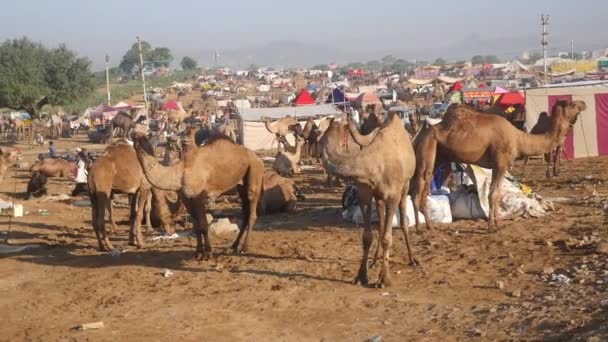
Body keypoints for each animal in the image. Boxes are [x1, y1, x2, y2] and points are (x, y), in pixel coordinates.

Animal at [132, 132, 264, 258]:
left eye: (143, 138)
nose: (135, 134)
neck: (178, 173)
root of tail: (257, 158)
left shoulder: (199, 197)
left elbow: (203, 225)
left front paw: (208, 253)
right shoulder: (187, 199)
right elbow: (196, 227)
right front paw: (198, 253)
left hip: (254, 170)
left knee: (252, 210)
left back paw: (244, 248)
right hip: (241, 184)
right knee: (245, 212)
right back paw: (234, 246)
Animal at [324, 111, 418, 286]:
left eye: (343, 132)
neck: (374, 165)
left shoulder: (393, 196)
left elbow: (388, 237)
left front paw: (384, 279)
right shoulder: (365, 196)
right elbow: (367, 237)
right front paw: (361, 275)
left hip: (405, 185)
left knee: (403, 221)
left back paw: (413, 259)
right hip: (379, 197)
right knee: (380, 225)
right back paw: (375, 260)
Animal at [410, 100, 588, 231]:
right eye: (572, 104)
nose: (583, 103)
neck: (519, 139)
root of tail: (420, 135)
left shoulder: (496, 166)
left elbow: (494, 193)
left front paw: (495, 222)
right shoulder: (501, 162)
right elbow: (493, 194)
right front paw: (493, 226)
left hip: (437, 155)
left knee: (417, 189)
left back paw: (422, 226)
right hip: (428, 148)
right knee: (420, 188)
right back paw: (425, 227)